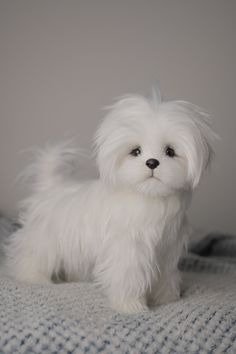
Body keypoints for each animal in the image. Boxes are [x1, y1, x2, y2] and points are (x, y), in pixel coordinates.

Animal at [4, 88, 218, 312]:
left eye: (170, 151)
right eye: (136, 151)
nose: (152, 162)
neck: (149, 198)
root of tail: (51, 185)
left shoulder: (167, 249)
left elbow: (165, 275)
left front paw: (166, 298)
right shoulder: (128, 250)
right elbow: (128, 277)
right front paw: (130, 305)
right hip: (44, 239)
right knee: (31, 256)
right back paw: (33, 277)